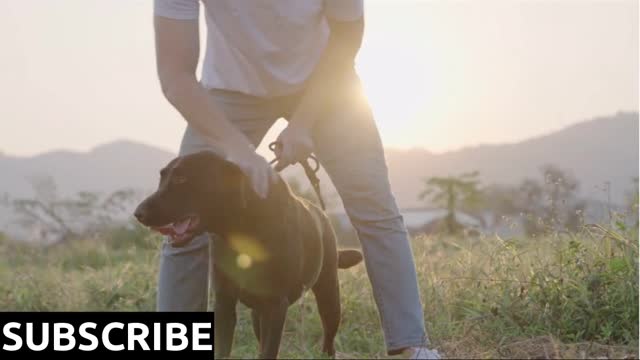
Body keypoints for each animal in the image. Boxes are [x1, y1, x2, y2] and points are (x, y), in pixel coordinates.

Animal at [134, 149, 364, 358]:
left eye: (181, 179)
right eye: (162, 178)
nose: (138, 213)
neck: (242, 229)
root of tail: (321, 214)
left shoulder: (275, 306)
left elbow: (268, 352)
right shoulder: (225, 302)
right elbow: (223, 350)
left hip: (329, 298)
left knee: (328, 341)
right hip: (257, 314)